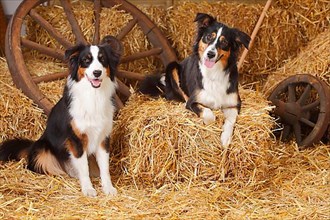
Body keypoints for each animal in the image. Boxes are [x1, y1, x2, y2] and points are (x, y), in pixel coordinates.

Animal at [0, 35, 122, 197]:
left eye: (102, 59)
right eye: (86, 60)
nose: (97, 72)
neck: (93, 95)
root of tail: (32, 145)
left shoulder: (103, 138)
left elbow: (105, 168)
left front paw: (108, 188)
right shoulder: (76, 139)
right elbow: (83, 168)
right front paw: (88, 189)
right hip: (43, 151)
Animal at [139, 12, 250, 147]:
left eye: (224, 42)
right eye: (208, 36)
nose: (210, 54)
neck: (214, 73)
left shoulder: (234, 105)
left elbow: (230, 120)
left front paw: (225, 138)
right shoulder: (193, 101)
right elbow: (209, 115)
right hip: (172, 67)